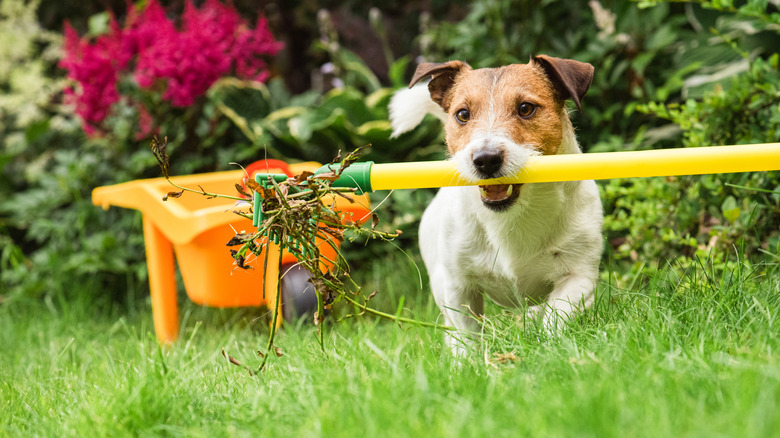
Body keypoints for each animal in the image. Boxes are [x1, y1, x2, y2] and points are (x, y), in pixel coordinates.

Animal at [390, 55, 604, 356]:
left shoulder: (578, 276)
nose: (486, 159)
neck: (512, 218)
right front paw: (467, 362)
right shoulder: (458, 286)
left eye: (526, 108)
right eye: (462, 114)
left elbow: (555, 318)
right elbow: (466, 335)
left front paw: (547, 349)